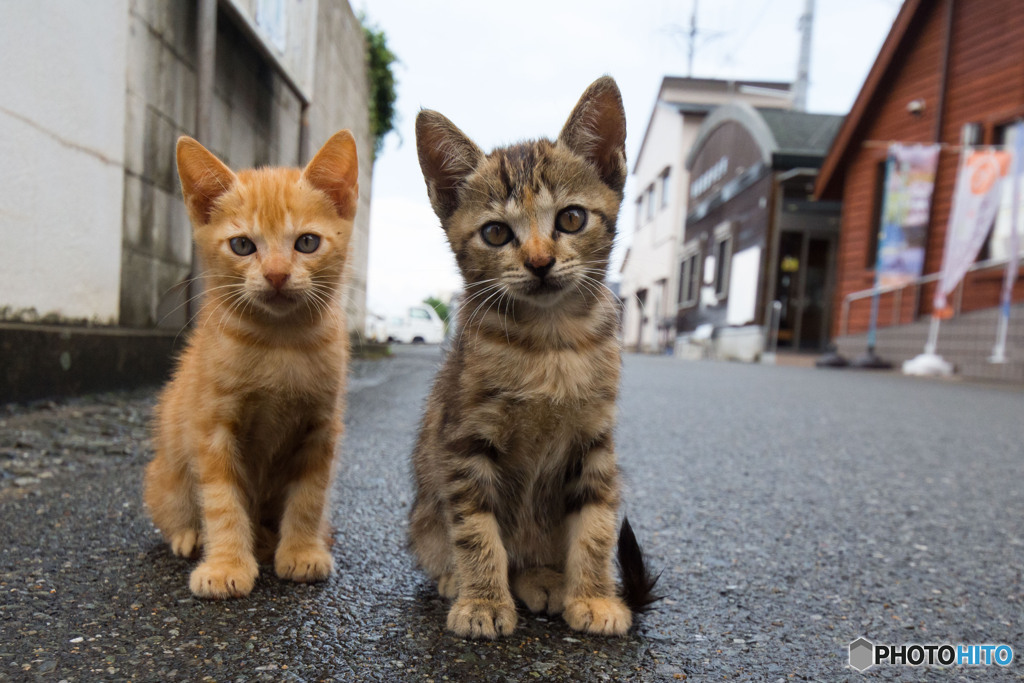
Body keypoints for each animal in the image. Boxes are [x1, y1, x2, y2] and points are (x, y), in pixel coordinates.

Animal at [143, 129, 360, 598]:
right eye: (243, 245)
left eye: (307, 242)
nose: (277, 275)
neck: (279, 342)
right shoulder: (212, 428)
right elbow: (221, 500)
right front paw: (225, 563)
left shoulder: (321, 428)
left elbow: (310, 496)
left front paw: (301, 551)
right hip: (165, 475)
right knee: (175, 509)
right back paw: (191, 536)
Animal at [407, 77, 655, 638]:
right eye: (496, 232)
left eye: (571, 218)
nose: (540, 262)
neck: (550, 343)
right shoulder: (465, 441)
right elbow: (476, 528)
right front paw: (482, 602)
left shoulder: (595, 442)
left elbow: (596, 524)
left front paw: (595, 598)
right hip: (424, 516)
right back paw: (461, 579)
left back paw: (544, 577)